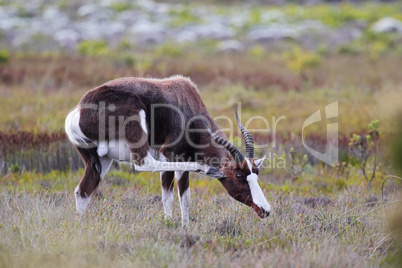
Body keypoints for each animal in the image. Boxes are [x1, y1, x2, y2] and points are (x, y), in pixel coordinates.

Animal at [66, 75, 272, 226]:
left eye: (256, 173)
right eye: (238, 176)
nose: (265, 209)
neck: (186, 103)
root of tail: (79, 110)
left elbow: (185, 198)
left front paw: (185, 228)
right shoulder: (170, 156)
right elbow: (169, 196)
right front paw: (170, 223)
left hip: (101, 160)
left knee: (82, 191)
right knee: (143, 163)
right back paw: (206, 168)